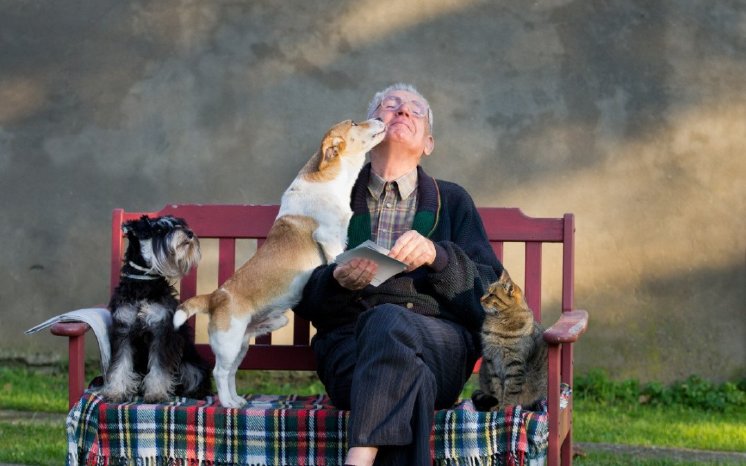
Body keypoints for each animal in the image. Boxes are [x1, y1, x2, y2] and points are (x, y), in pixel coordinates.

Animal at [100, 217, 211, 402]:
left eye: (179, 223)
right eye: (159, 230)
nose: (189, 233)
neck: (143, 284)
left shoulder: (161, 331)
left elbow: (159, 367)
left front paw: (156, 393)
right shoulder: (123, 330)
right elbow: (120, 364)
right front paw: (116, 391)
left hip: (190, 363)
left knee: (196, 376)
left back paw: (194, 392)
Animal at [172, 117, 386, 408]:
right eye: (354, 122)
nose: (381, 118)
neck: (330, 180)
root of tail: (214, 296)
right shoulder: (330, 240)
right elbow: (335, 261)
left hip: (242, 344)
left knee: (231, 373)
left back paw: (238, 400)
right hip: (228, 343)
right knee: (220, 372)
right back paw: (228, 403)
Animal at [470, 270, 548, 412]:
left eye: (491, 294)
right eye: (486, 292)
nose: (480, 298)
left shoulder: (514, 364)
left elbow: (510, 391)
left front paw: (505, 408)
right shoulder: (492, 362)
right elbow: (496, 388)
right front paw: (496, 408)